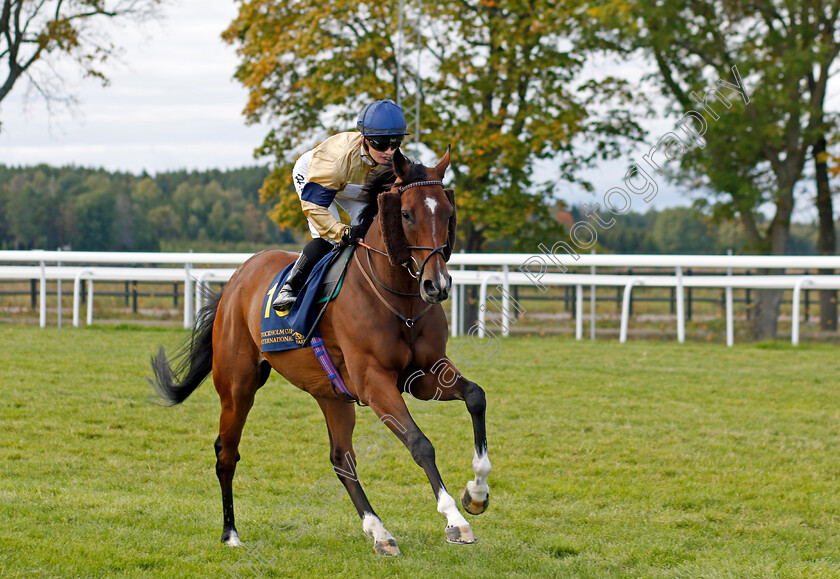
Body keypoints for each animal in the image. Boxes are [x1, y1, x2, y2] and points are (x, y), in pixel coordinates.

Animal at [149, 147, 492, 556]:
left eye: (447, 212)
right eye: (407, 214)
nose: (436, 286)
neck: (400, 302)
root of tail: (235, 279)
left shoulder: (424, 375)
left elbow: (476, 396)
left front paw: (477, 494)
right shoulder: (374, 382)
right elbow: (420, 443)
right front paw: (455, 520)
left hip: (332, 394)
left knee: (341, 458)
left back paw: (379, 531)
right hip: (238, 386)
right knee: (226, 453)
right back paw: (230, 533)